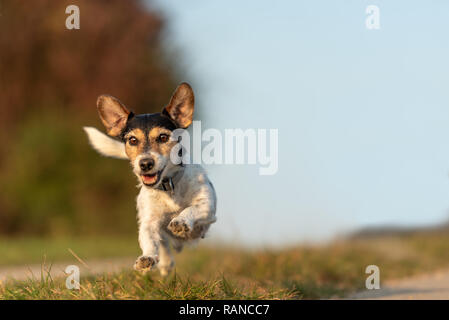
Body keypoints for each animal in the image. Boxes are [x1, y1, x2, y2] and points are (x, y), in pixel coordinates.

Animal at [85, 82, 217, 276]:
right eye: (132, 140)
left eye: (163, 137)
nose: (145, 163)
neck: (169, 187)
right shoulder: (149, 222)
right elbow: (149, 240)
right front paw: (147, 257)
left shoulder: (207, 206)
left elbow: (191, 209)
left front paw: (180, 221)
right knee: (163, 245)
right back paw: (165, 262)